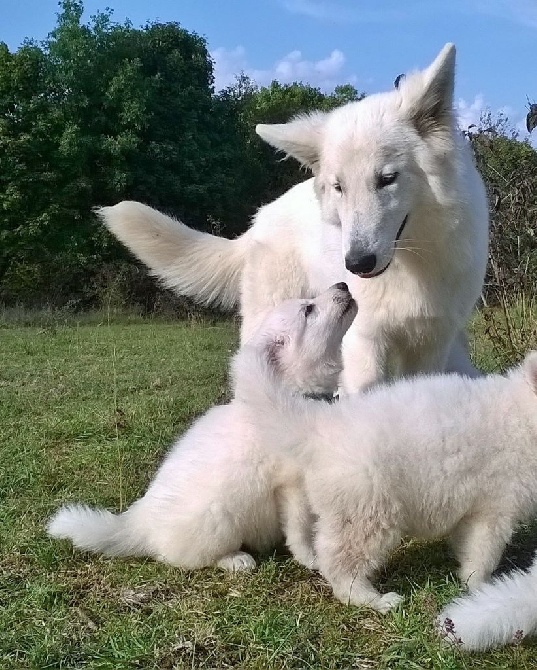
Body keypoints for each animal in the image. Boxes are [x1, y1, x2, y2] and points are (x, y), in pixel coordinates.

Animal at [47, 284, 356, 572]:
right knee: (189, 557)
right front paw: (312, 558)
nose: (342, 284)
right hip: (218, 519)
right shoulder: (291, 487)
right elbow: (300, 529)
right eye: (308, 310)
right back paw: (237, 560)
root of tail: (136, 525)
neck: (294, 394)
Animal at [98, 43, 488, 394]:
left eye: (387, 179)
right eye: (339, 187)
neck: (411, 265)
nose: (356, 264)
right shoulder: (364, 342)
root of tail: (258, 221)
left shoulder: (432, 344)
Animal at [232, 346, 536, 616]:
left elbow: (467, 546)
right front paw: (483, 588)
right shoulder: (495, 511)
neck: (522, 417)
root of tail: (323, 427)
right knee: (343, 564)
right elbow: (483, 555)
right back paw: (373, 600)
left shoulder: (475, 512)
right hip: (370, 514)